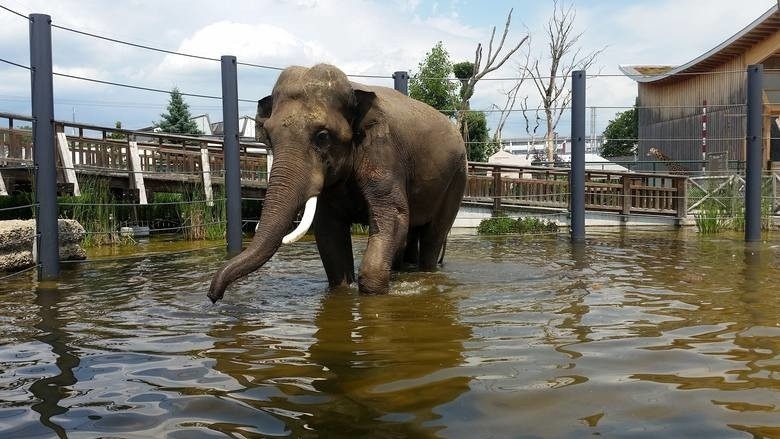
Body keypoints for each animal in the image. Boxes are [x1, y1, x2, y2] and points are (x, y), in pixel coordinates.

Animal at [204, 63, 470, 302]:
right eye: (268, 136)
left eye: (322, 136)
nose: (213, 296)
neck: (354, 90)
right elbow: (328, 231)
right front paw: (344, 289)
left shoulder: (383, 152)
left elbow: (393, 216)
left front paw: (373, 291)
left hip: (457, 178)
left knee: (433, 235)